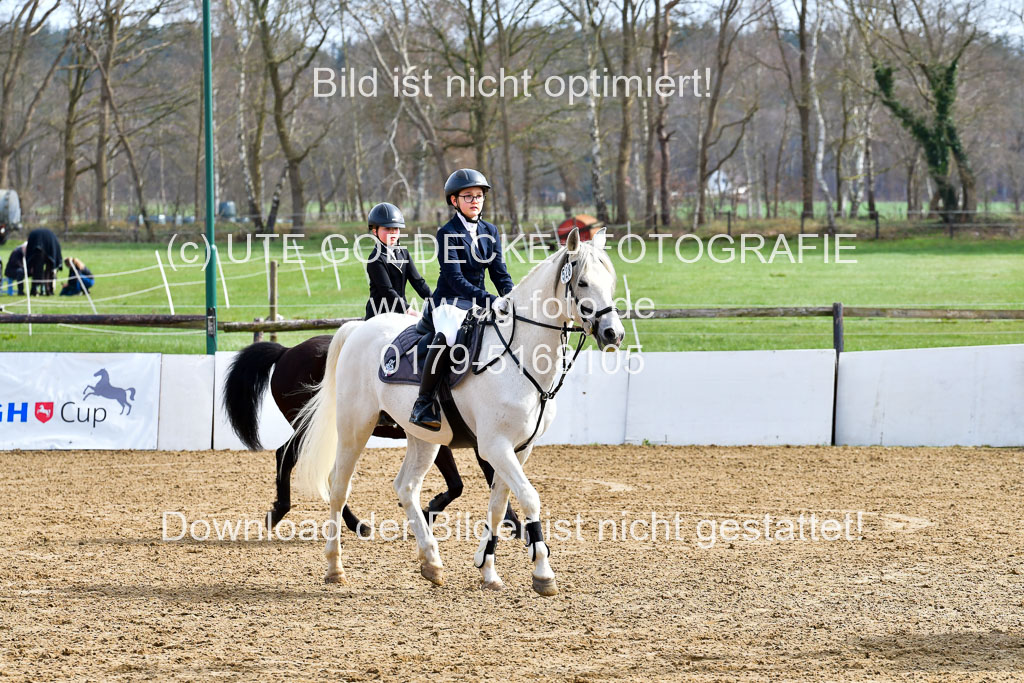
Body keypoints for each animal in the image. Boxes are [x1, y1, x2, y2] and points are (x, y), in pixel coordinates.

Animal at [224, 335, 520, 540]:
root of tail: (287, 352)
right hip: (311, 425)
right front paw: (427, 512)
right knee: (290, 457)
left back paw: (351, 523)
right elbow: (459, 484)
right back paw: (287, 512)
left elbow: (489, 479)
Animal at [290, 227, 622, 593]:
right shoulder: (495, 446)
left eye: (611, 281)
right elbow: (529, 497)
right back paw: (335, 567)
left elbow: (498, 506)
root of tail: (358, 329)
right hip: (355, 427)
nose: (614, 333)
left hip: (424, 438)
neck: (519, 356)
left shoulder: (520, 448)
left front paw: (487, 569)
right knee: (338, 486)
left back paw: (431, 562)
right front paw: (542, 573)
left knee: (406, 487)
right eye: (583, 283)